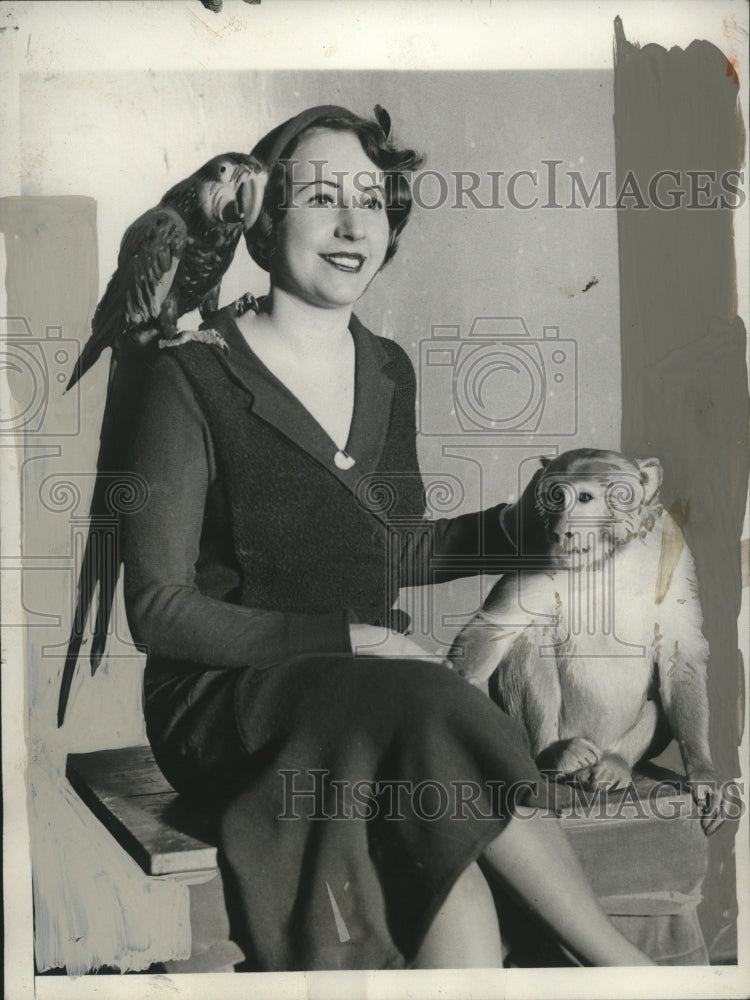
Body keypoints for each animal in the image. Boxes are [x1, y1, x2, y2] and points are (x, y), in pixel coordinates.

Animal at [452, 450, 728, 832]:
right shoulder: (535, 552)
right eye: (556, 497)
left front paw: (703, 772)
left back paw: (615, 764)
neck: (610, 558)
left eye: (584, 497)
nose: (561, 530)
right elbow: (492, 630)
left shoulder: (674, 549)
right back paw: (553, 754)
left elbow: (680, 653)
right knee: (528, 639)